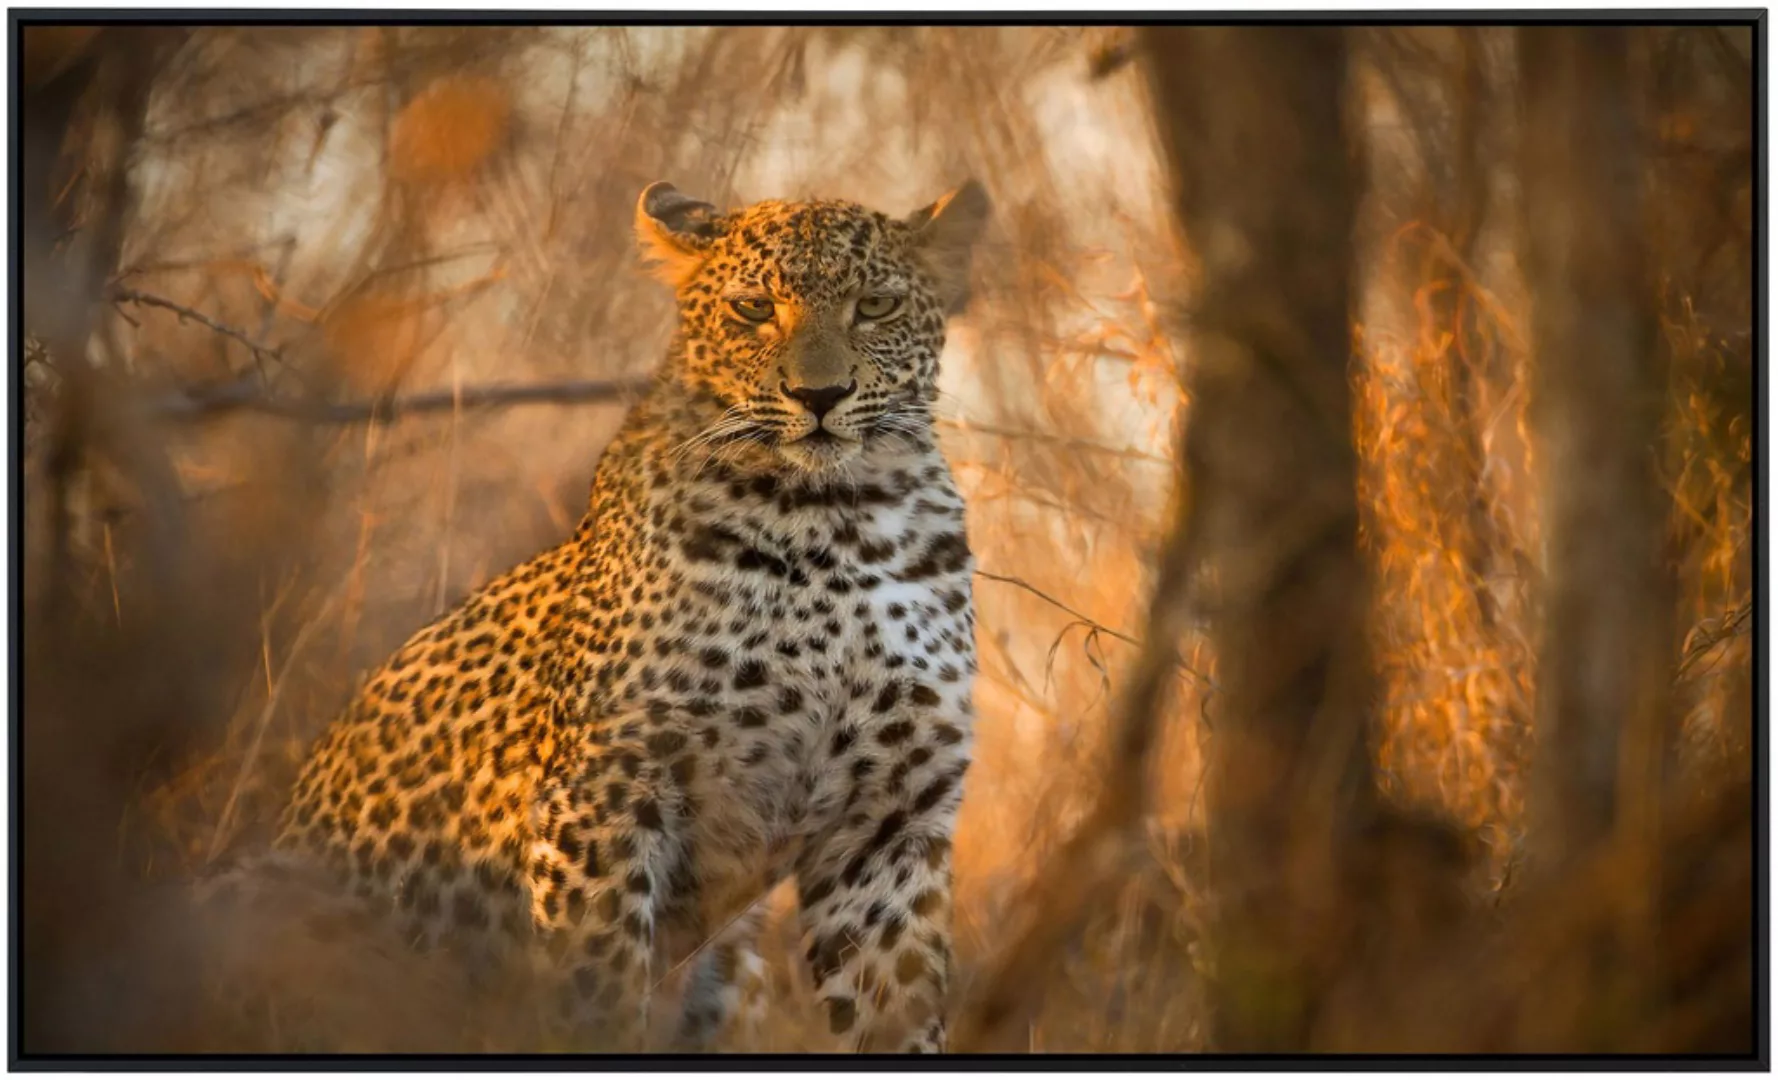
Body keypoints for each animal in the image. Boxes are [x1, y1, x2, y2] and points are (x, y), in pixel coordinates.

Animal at [275, 179, 995, 1053]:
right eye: (753, 309)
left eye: (877, 305)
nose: (819, 396)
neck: (840, 526)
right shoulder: (606, 791)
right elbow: (597, 991)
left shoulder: (889, 822)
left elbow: (898, 1011)